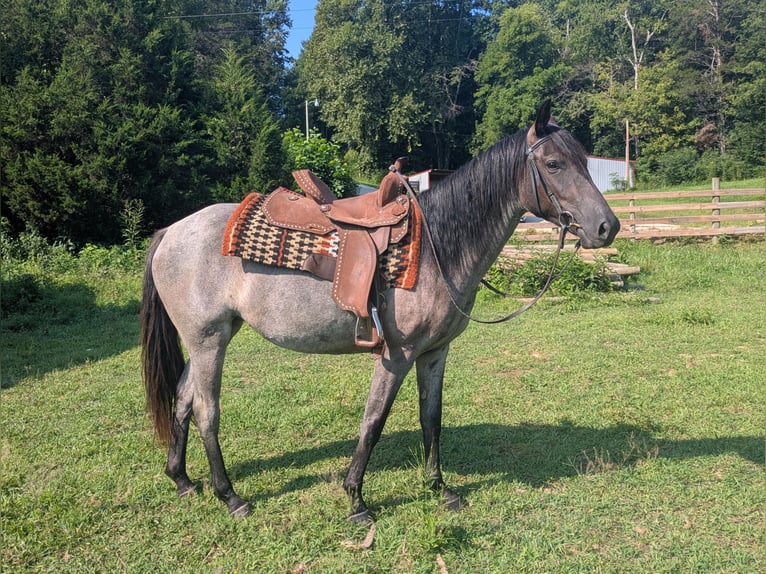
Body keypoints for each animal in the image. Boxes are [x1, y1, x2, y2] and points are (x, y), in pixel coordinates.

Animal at [140, 101, 620, 523]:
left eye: (584, 161)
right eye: (554, 164)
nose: (607, 227)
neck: (436, 249)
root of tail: (171, 231)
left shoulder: (435, 353)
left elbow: (431, 418)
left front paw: (439, 488)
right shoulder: (397, 354)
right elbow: (374, 420)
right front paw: (356, 500)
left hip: (209, 338)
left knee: (182, 400)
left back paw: (182, 480)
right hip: (209, 340)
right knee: (206, 411)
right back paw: (230, 496)